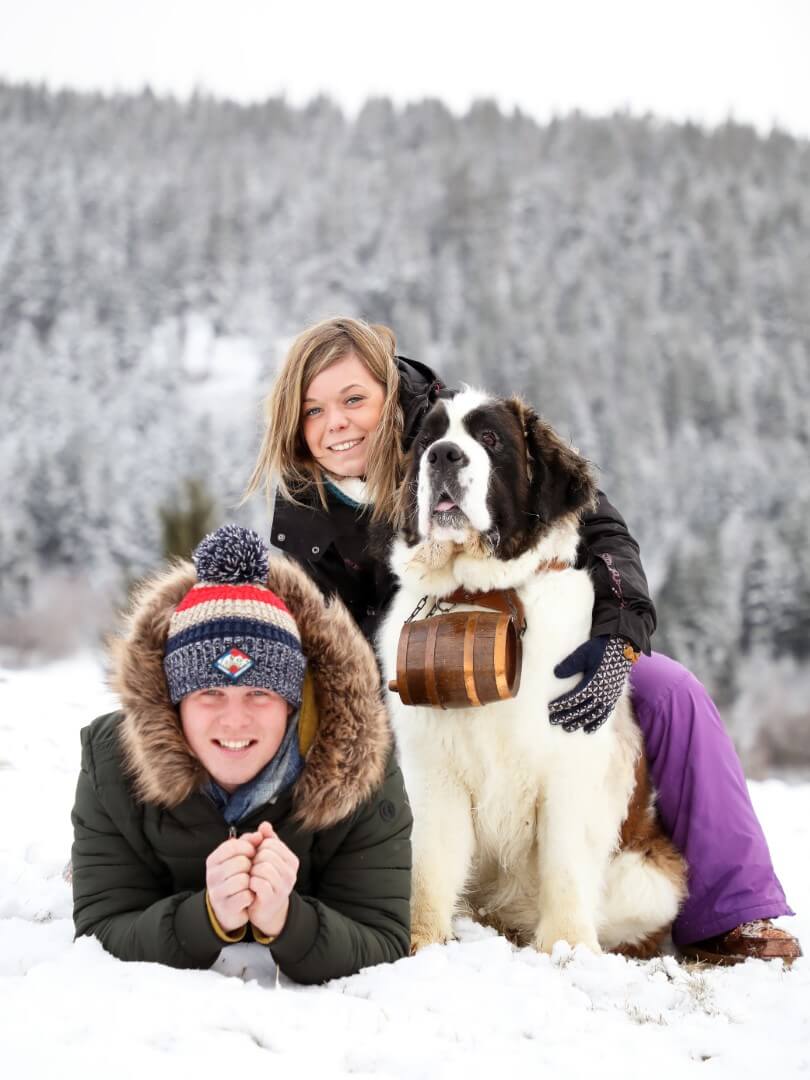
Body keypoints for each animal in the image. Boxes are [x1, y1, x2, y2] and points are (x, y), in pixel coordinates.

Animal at [384, 386, 686, 954]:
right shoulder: (435, 772)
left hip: (652, 878)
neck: (484, 597)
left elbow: (564, 866)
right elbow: (429, 866)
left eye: (490, 439)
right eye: (430, 438)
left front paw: (568, 950)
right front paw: (421, 943)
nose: (443, 456)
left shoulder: (569, 771)